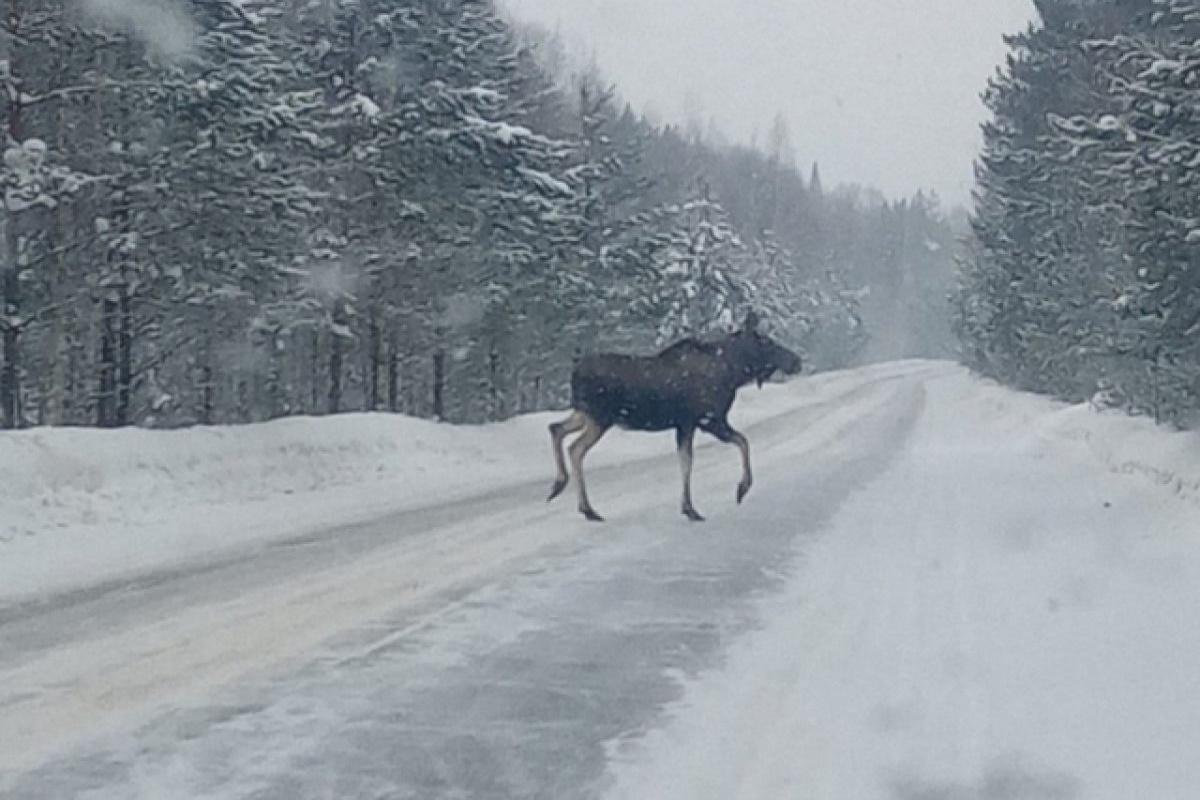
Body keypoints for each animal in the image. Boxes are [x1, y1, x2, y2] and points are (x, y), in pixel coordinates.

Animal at [549, 309, 801, 522]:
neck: (734, 371)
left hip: (585, 413)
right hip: (600, 418)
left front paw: (689, 507)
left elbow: (686, 460)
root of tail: (575, 370)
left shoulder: (686, 424)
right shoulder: (709, 420)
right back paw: (587, 509)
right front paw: (739, 489)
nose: (796, 361)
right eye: (767, 342)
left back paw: (558, 485)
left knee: (556, 428)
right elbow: (740, 442)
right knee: (576, 448)